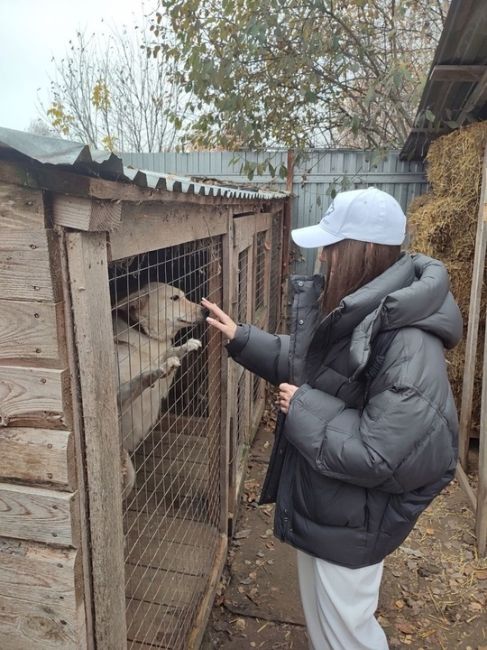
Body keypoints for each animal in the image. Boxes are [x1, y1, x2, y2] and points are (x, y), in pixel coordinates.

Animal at [113, 280, 205, 498]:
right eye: (175, 298)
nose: (206, 310)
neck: (144, 335)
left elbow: (172, 351)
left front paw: (186, 346)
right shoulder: (117, 397)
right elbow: (141, 378)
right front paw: (158, 369)